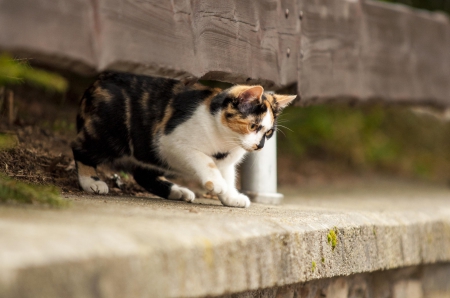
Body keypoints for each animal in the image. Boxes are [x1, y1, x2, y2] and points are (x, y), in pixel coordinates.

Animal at [71, 71, 296, 207]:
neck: (226, 142)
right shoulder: (171, 142)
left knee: (142, 173)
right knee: (80, 147)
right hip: (112, 133)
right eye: (253, 126)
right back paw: (91, 181)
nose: (259, 146)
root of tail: (96, 82)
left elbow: (229, 175)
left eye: (268, 133)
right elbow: (204, 159)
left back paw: (176, 191)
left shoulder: (227, 162)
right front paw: (217, 183)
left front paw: (231, 196)